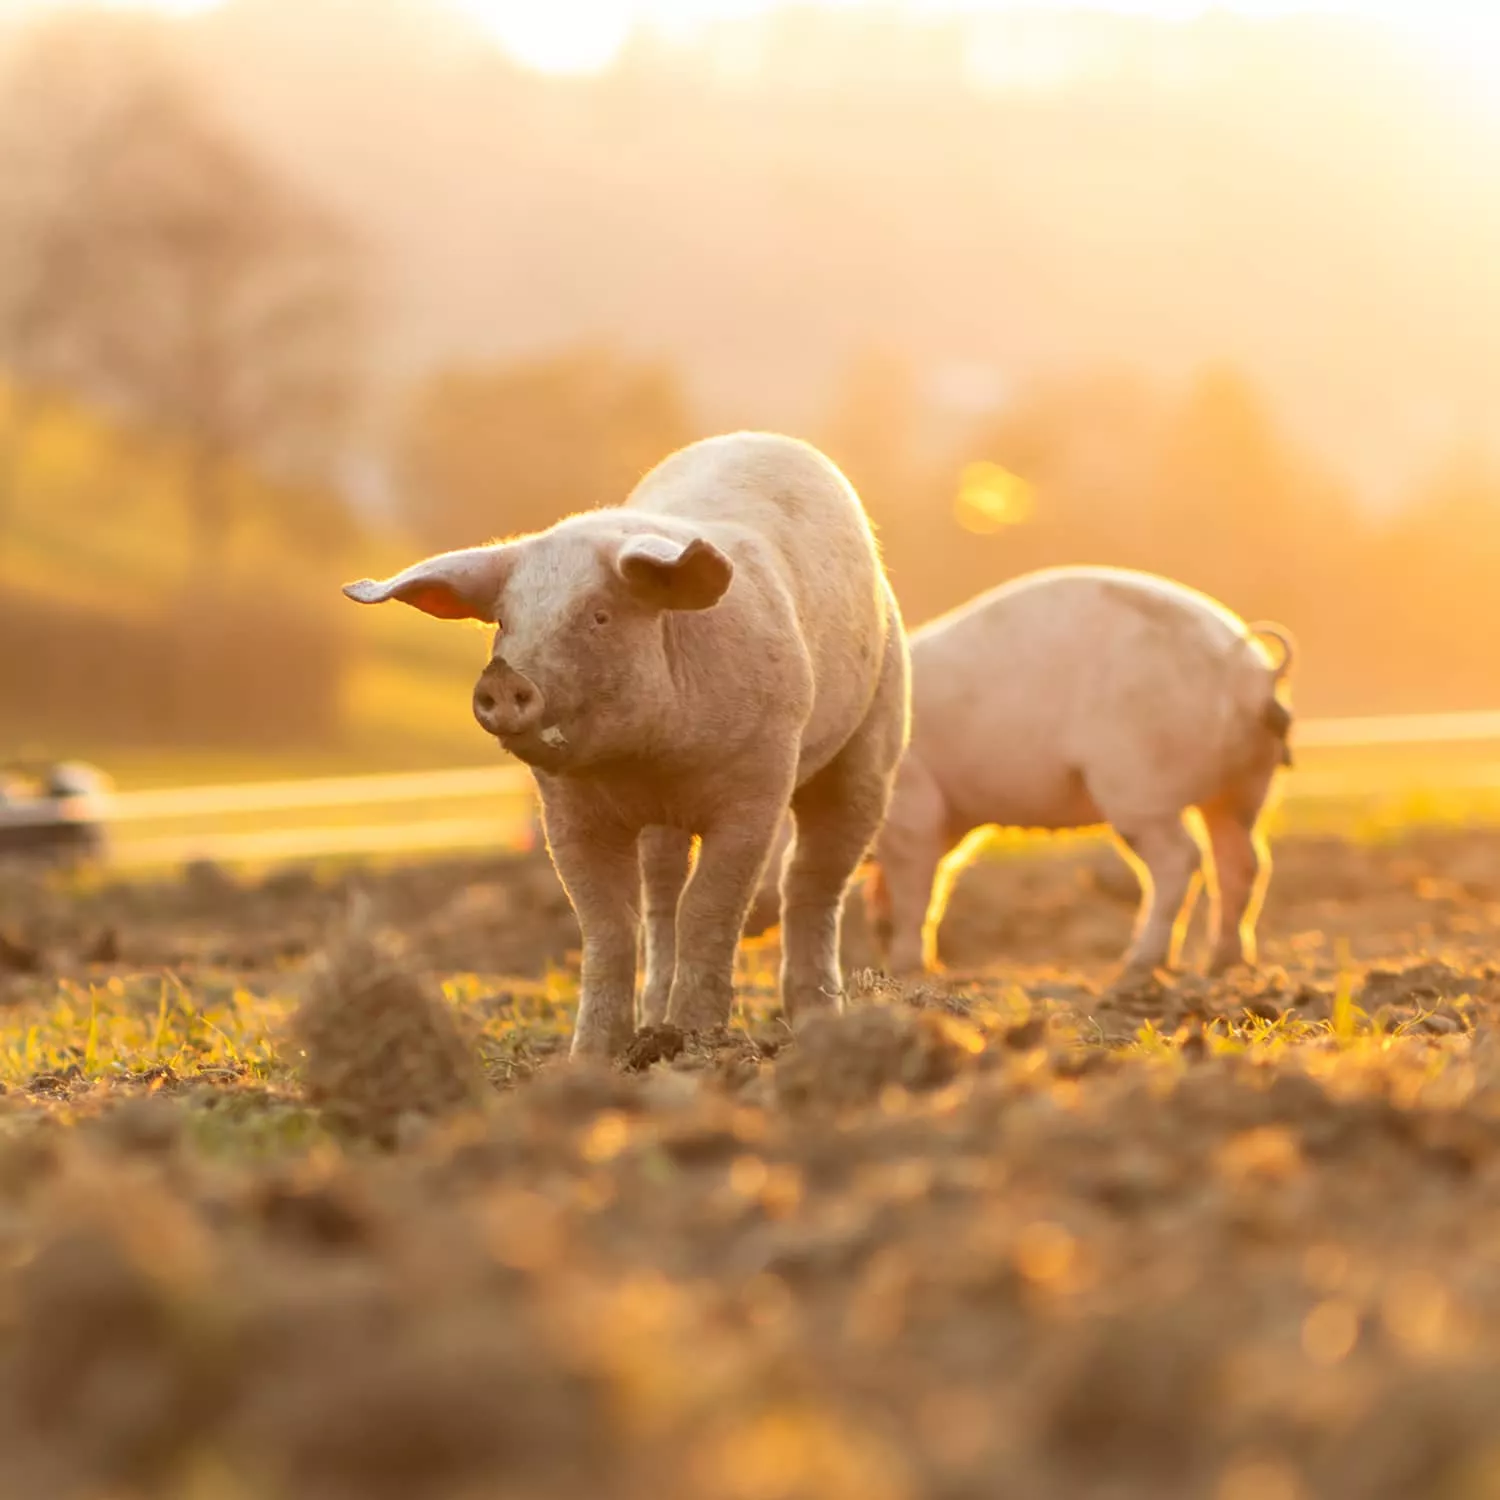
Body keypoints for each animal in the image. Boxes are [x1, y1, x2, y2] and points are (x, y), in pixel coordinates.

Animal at [340, 429, 906, 1062]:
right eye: (505, 622)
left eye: (600, 616)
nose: (503, 679)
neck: (646, 762)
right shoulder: (569, 813)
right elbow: (608, 924)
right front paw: (590, 1060)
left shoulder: (758, 784)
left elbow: (710, 907)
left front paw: (695, 1045)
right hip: (667, 829)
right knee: (662, 894)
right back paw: (656, 1022)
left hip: (874, 736)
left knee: (813, 878)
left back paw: (816, 1023)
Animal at [864, 567, 1296, 978]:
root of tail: (1247, 672)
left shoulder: (912, 803)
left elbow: (915, 888)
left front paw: (905, 968)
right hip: (1249, 785)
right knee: (1244, 860)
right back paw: (1222, 964)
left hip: (1138, 786)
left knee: (1182, 858)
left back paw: (1138, 964)